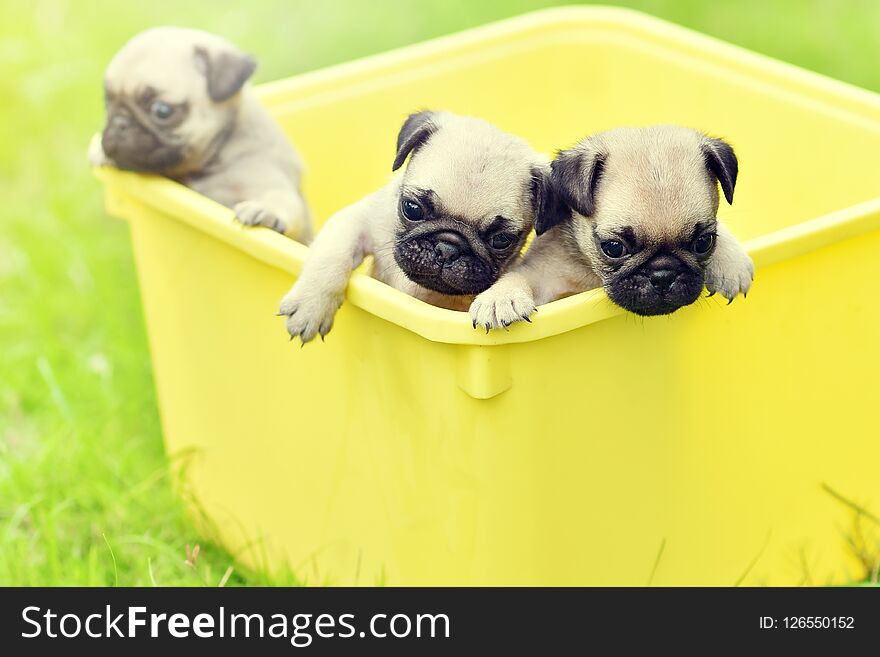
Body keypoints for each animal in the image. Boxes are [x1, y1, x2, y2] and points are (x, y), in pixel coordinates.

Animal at [89, 26, 312, 241]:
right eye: (108, 104)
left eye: (162, 110)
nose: (119, 123)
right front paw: (99, 152)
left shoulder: (264, 176)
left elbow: (278, 197)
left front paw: (265, 211)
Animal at [280, 109, 556, 340]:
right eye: (412, 209)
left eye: (500, 240)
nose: (447, 248)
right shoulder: (358, 220)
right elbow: (331, 258)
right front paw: (310, 306)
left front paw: (501, 299)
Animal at [470, 123, 752, 328]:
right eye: (614, 248)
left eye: (704, 243)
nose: (663, 274)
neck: (595, 274)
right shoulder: (545, 274)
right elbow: (520, 276)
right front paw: (500, 298)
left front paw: (731, 263)